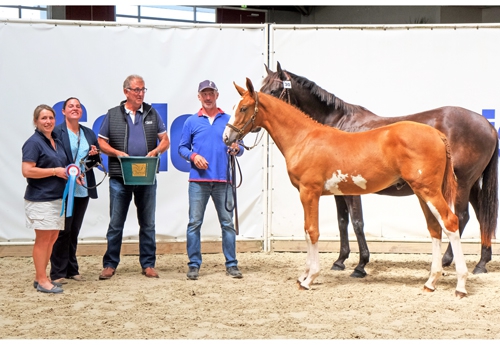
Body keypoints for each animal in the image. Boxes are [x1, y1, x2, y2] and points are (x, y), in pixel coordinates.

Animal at [224, 78, 468, 296]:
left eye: (243, 108)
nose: (227, 137)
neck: (304, 138)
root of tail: (438, 134)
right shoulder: (310, 194)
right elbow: (308, 231)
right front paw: (304, 276)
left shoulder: (310, 192)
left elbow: (312, 231)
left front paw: (310, 278)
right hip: (421, 192)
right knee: (435, 228)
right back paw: (431, 282)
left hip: (429, 191)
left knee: (451, 222)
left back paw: (461, 286)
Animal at [260, 61, 498, 276]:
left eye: (273, 90)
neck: (336, 125)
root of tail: (488, 125)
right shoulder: (339, 191)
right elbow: (342, 222)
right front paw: (340, 260)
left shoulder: (352, 191)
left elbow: (357, 222)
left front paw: (361, 265)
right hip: (472, 185)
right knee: (481, 216)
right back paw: (481, 263)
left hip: (462, 184)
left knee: (461, 216)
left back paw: (449, 259)